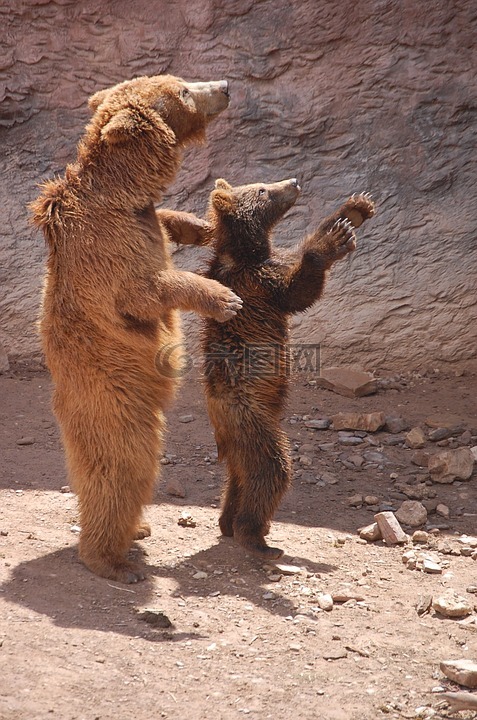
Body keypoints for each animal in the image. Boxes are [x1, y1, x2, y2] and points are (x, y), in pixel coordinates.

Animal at [30, 75, 243, 583]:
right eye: (184, 91)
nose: (225, 85)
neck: (124, 197)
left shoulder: (143, 220)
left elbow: (165, 222)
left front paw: (201, 225)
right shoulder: (107, 250)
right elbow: (146, 290)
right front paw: (225, 298)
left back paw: (136, 531)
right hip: (114, 399)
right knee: (123, 467)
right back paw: (112, 559)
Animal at [202, 178, 375, 559]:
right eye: (262, 190)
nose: (294, 182)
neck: (248, 251)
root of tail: (220, 430)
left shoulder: (273, 261)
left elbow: (298, 257)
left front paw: (355, 209)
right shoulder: (257, 285)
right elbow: (299, 291)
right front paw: (334, 240)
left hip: (243, 433)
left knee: (239, 476)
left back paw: (229, 523)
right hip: (249, 416)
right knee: (270, 470)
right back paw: (256, 537)